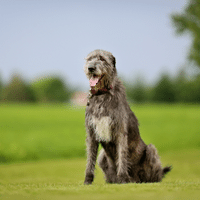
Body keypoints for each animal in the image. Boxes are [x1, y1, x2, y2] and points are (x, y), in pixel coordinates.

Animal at [83, 49, 171, 184]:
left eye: (102, 59)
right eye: (89, 59)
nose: (91, 68)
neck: (102, 94)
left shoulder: (120, 130)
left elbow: (122, 155)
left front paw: (123, 178)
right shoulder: (91, 132)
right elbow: (90, 159)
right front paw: (87, 181)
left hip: (151, 150)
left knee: (154, 174)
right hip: (102, 156)